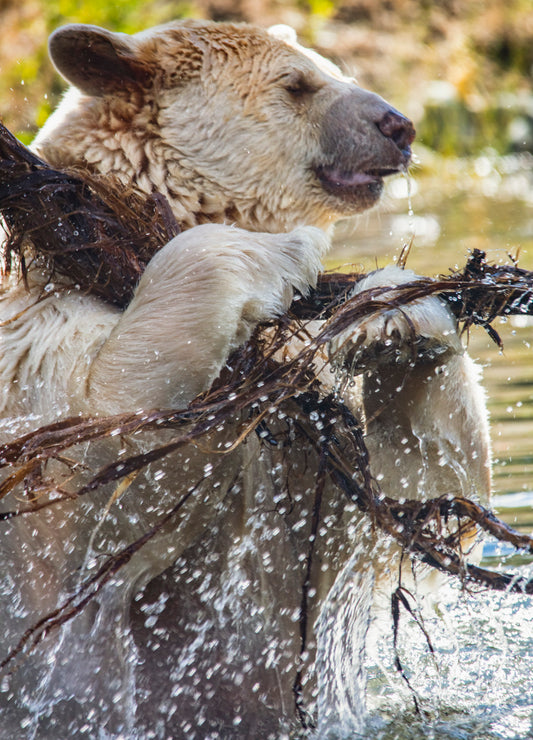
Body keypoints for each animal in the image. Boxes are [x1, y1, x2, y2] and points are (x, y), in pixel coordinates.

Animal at [0, 19, 491, 739]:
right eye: (298, 83)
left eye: (332, 66)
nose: (397, 126)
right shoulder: (34, 341)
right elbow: (99, 440)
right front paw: (288, 249)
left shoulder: (295, 448)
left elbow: (414, 483)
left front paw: (390, 315)